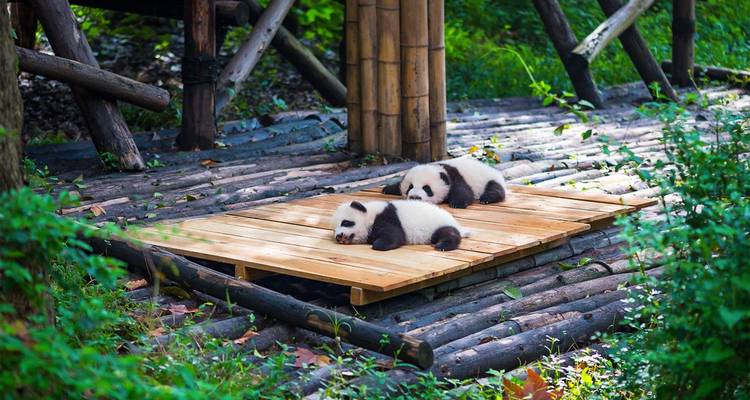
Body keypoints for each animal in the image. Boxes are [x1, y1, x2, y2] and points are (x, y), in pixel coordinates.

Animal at [331, 200, 470, 251]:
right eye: (334, 230)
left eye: (345, 222)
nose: (339, 236)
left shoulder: (386, 217)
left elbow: (395, 236)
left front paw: (379, 244)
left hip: (438, 224)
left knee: (448, 233)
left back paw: (442, 245)